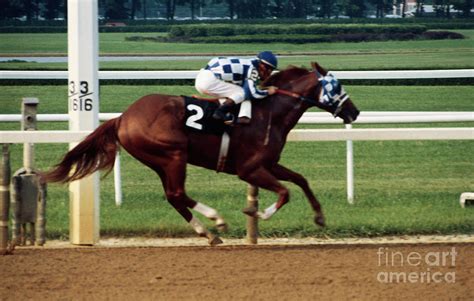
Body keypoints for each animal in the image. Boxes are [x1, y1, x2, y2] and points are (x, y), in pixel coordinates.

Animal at [46, 62, 362, 245]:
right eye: (337, 86)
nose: (355, 112)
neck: (270, 112)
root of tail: (123, 118)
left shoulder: (269, 163)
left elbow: (301, 180)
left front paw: (319, 217)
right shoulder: (250, 169)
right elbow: (285, 192)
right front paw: (255, 211)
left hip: (159, 161)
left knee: (173, 196)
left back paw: (208, 233)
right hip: (173, 154)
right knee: (177, 193)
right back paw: (215, 221)